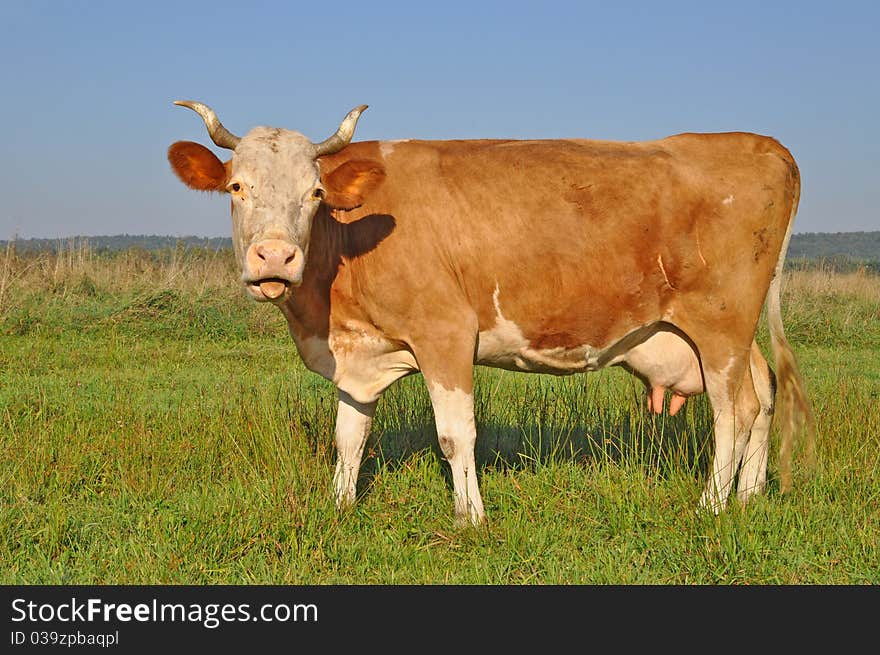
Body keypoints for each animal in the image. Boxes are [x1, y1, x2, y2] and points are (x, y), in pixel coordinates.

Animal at [168, 100, 816, 524]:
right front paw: (340, 505)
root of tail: (762, 144)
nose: (275, 256)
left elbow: (455, 435)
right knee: (763, 392)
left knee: (735, 409)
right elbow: (350, 435)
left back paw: (712, 504)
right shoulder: (359, 352)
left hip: (721, 322)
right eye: (236, 187)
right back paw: (750, 496)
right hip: (725, 332)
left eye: (316, 193)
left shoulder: (446, 334)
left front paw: (469, 517)